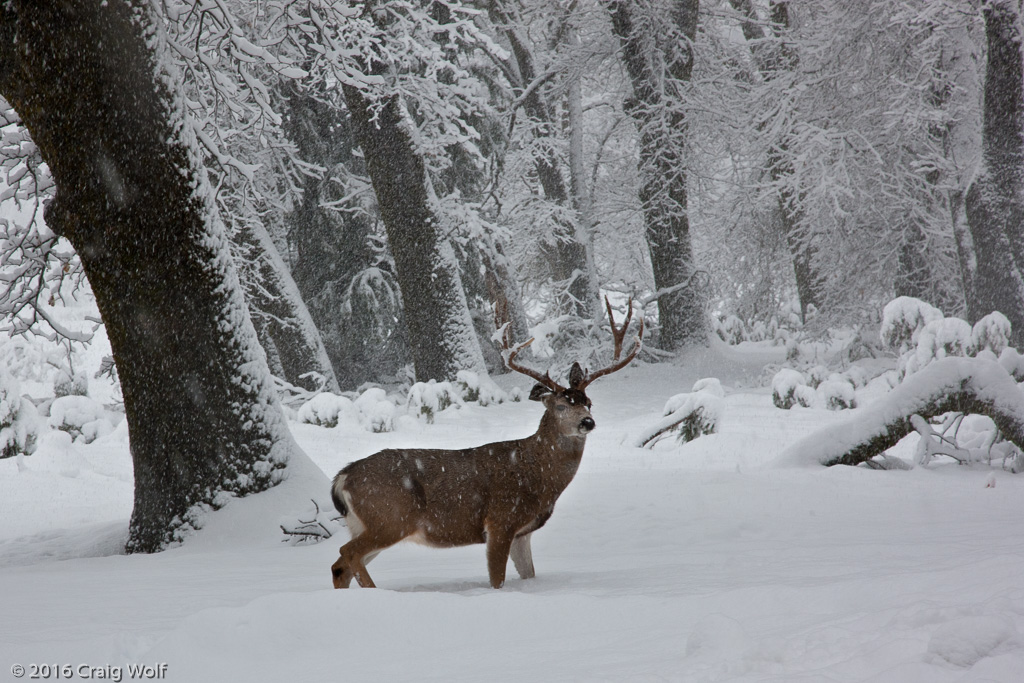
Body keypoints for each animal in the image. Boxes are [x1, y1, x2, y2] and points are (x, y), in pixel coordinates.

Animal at [331, 301, 643, 589]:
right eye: (560, 406)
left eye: (588, 402)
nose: (587, 422)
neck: (537, 474)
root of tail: (342, 477)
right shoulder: (500, 520)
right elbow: (497, 579)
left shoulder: (523, 531)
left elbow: (529, 574)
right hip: (390, 517)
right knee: (348, 552)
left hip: (364, 523)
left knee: (340, 565)